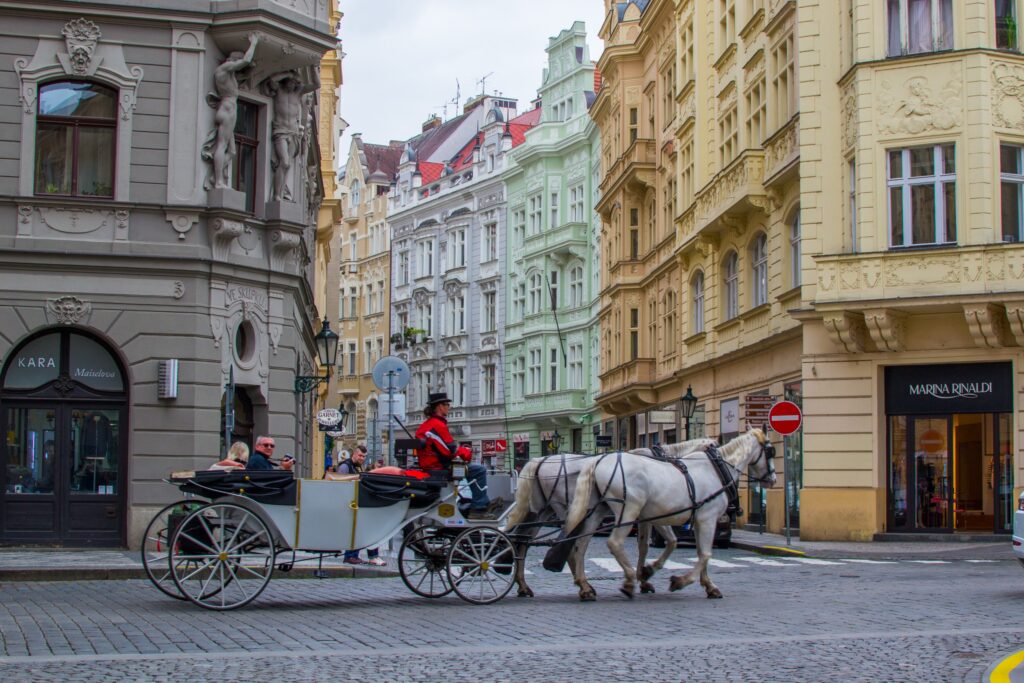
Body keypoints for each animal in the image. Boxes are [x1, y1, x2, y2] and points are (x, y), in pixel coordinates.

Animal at [501, 440, 712, 602]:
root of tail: (540, 460)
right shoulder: (651, 514)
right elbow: (667, 542)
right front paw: (645, 575)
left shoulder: (644, 516)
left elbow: (645, 545)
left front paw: (643, 576)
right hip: (562, 508)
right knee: (567, 541)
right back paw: (583, 586)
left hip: (541, 511)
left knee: (523, 542)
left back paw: (524, 586)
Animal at [561, 430, 774, 602]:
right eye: (771, 452)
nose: (773, 478)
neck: (715, 469)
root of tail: (598, 461)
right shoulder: (705, 518)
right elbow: (704, 553)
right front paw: (678, 581)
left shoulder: (677, 519)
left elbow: (675, 546)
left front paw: (707, 585)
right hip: (628, 510)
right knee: (613, 543)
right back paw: (628, 581)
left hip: (598, 511)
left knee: (581, 544)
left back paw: (585, 587)